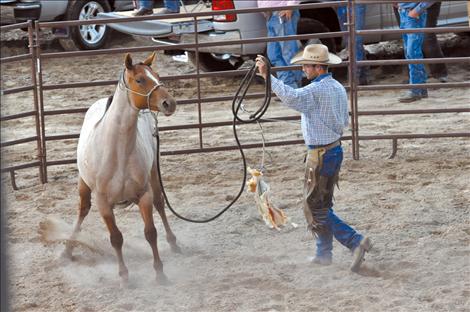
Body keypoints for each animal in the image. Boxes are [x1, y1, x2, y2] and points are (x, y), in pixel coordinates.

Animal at [63, 51, 179, 286]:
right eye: (140, 80)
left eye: (157, 76)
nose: (169, 103)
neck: (118, 153)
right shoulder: (103, 203)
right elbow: (116, 238)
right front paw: (124, 276)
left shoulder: (143, 195)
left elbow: (150, 232)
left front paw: (160, 273)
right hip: (83, 184)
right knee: (82, 210)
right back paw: (68, 249)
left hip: (154, 174)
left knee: (160, 203)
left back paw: (173, 242)